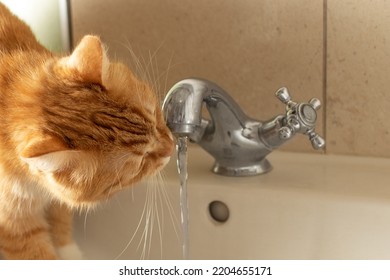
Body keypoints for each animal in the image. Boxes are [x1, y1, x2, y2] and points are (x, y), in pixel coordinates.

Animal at [0, 2, 174, 260]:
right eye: (141, 162)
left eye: (155, 116)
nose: (172, 147)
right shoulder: (17, 229)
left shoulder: (57, 199)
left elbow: (61, 224)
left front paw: (72, 255)